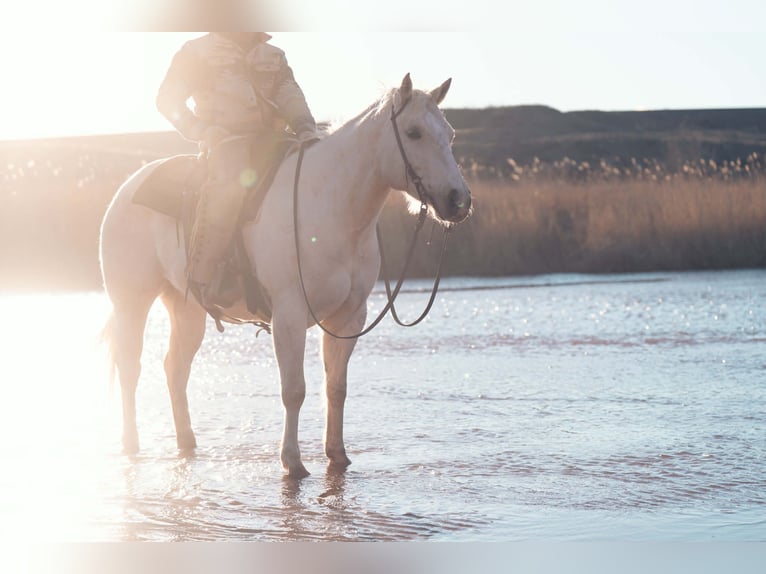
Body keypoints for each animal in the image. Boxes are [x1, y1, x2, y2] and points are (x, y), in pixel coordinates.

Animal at [99, 73, 472, 478]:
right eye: (413, 132)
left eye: (450, 133)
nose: (458, 200)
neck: (329, 206)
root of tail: (126, 189)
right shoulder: (289, 314)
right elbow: (294, 389)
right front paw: (292, 461)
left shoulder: (349, 315)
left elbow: (336, 386)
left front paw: (337, 454)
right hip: (132, 301)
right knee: (131, 366)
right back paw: (131, 442)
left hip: (186, 309)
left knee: (175, 368)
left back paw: (187, 442)